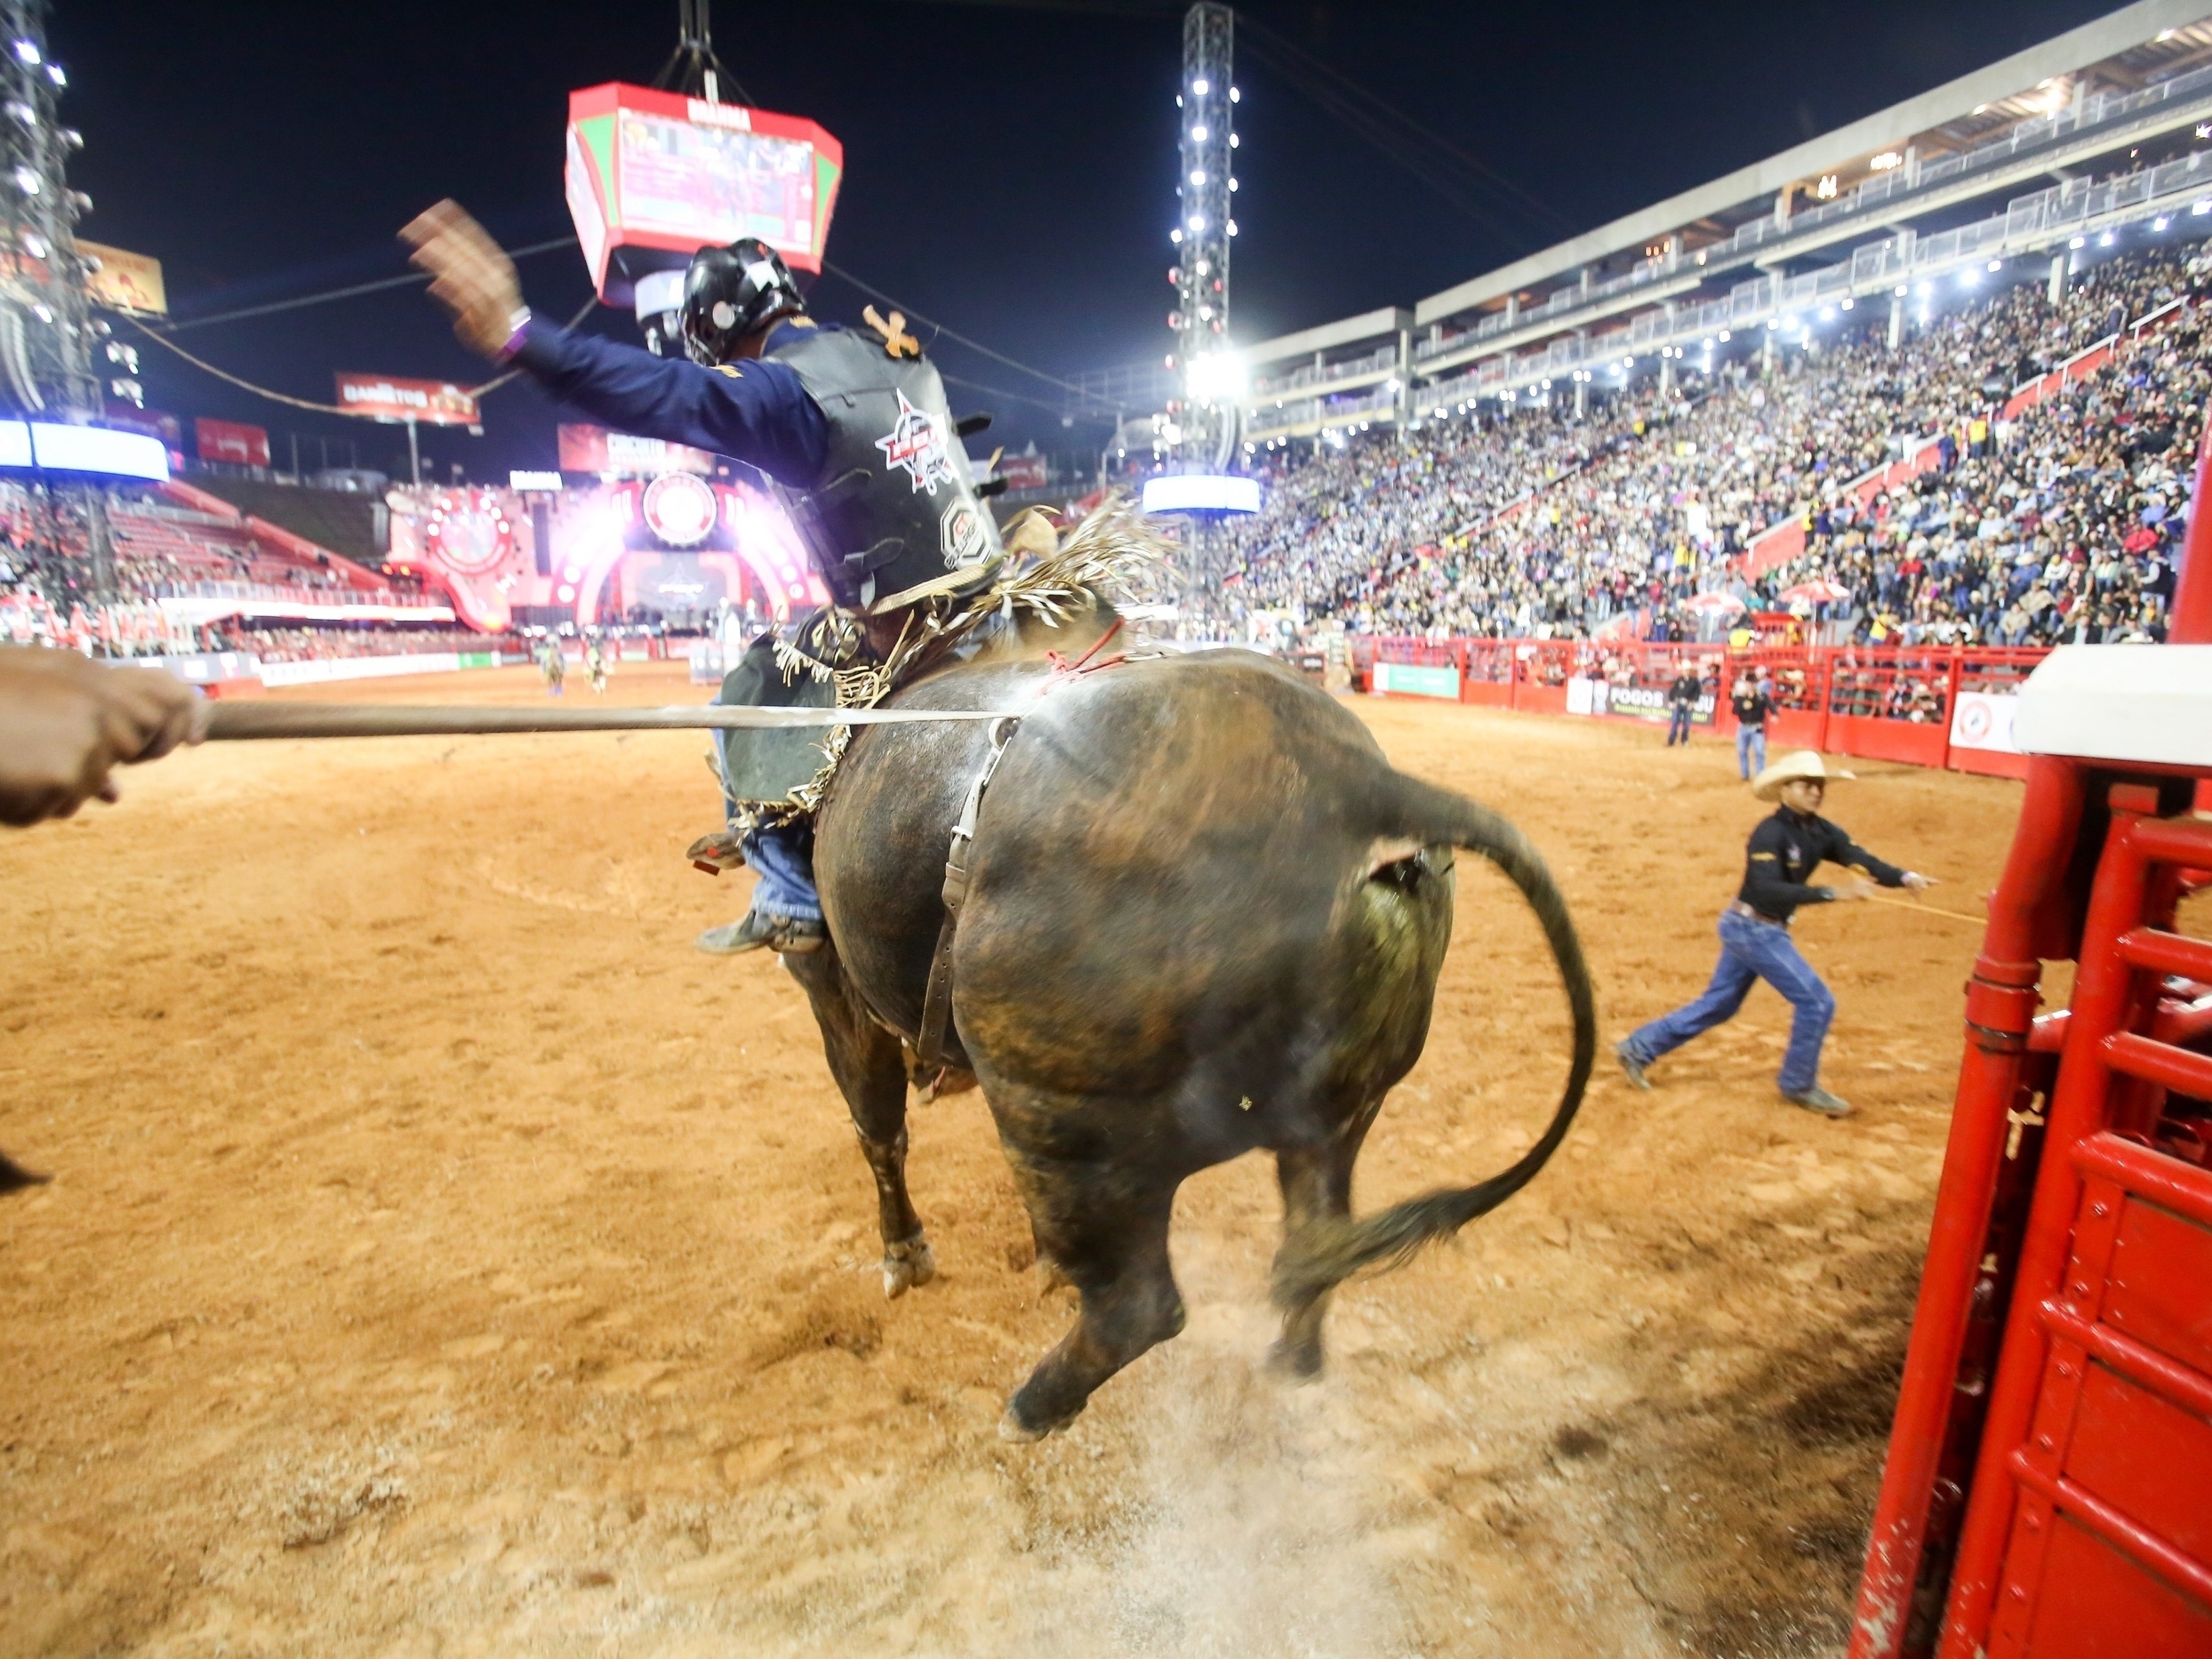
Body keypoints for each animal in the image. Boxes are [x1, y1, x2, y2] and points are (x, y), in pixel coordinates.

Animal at [787, 650, 1583, 1442]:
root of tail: (1359, 789)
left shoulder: (831, 984)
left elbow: (877, 1129)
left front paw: (905, 1254)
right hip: (1338, 1118)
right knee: (1314, 1242)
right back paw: (1292, 1362)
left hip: (1066, 1131)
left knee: (1139, 1308)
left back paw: (1035, 1405)